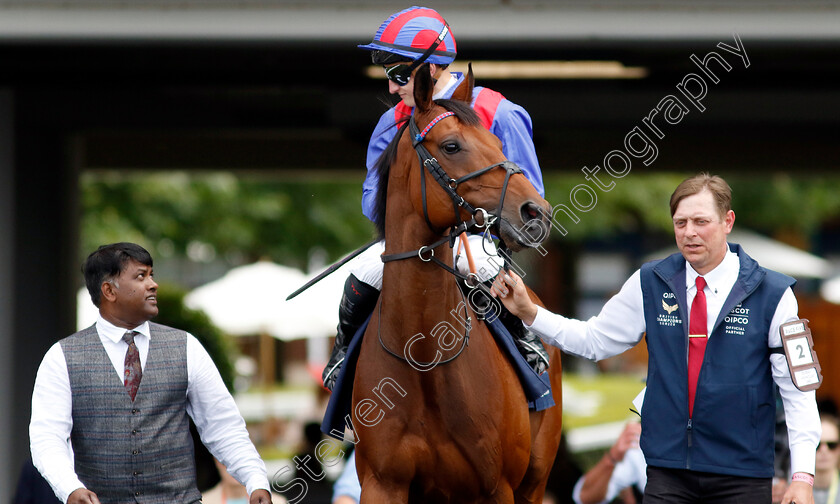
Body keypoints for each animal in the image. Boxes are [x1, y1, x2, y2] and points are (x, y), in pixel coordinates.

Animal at [352, 67, 560, 504]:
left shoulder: (495, 488)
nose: (536, 212)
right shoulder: (383, 483)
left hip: (534, 481)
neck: (424, 358)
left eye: (499, 144)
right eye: (451, 146)